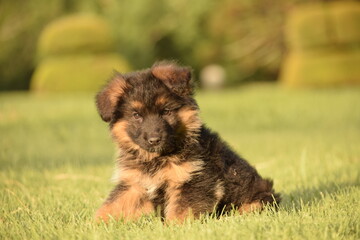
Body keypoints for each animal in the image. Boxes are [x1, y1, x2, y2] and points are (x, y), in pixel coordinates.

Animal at [94, 61, 280, 222]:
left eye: (166, 111)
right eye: (136, 115)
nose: (154, 140)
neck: (158, 158)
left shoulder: (193, 180)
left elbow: (181, 212)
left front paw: (173, 228)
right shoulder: (134, 184)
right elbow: (112, 206)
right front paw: (93, 224)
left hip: (259, 200)